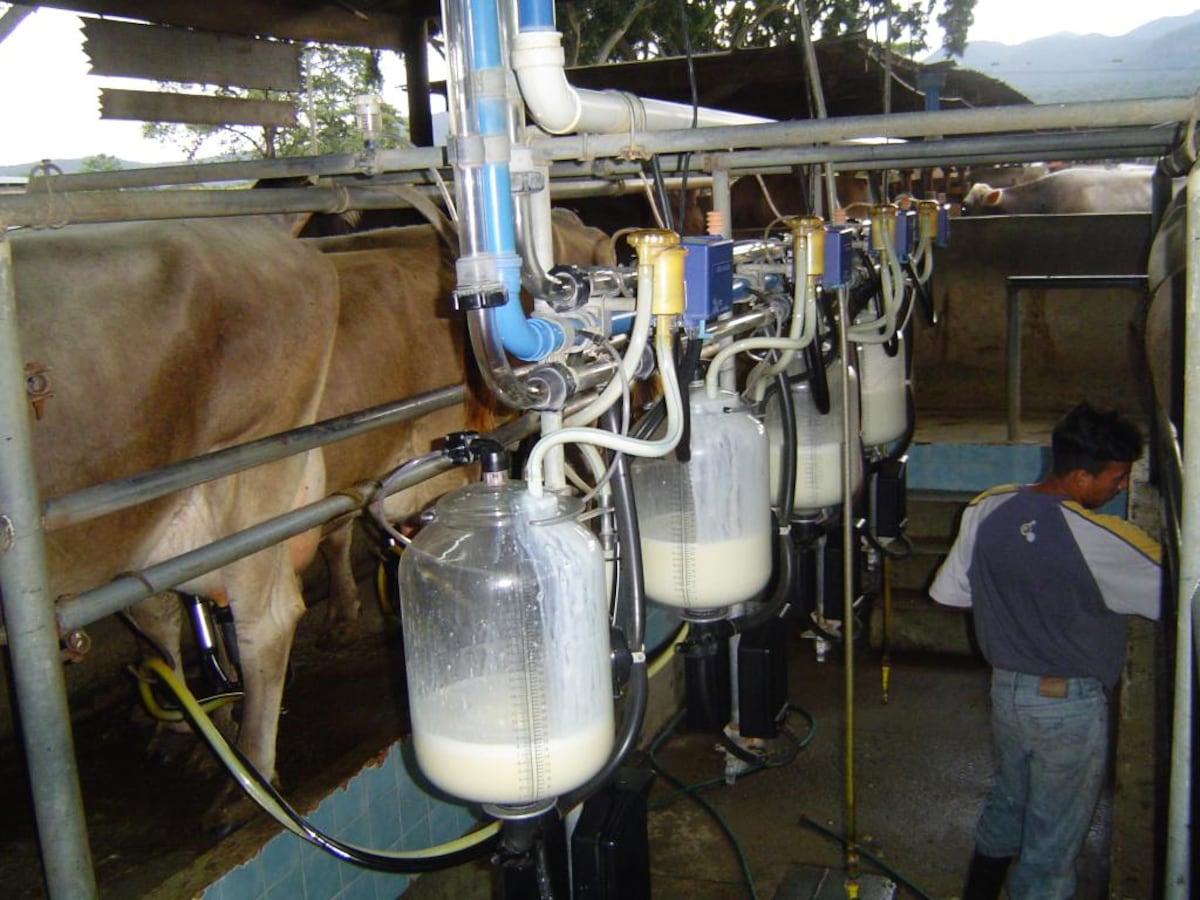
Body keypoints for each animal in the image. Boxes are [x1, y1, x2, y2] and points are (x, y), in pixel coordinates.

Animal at [11, 214, 343, 835]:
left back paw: (248, 778)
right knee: (162, 615)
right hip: (152, 525)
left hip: (250, 467)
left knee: (265, 619)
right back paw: (184, 728)